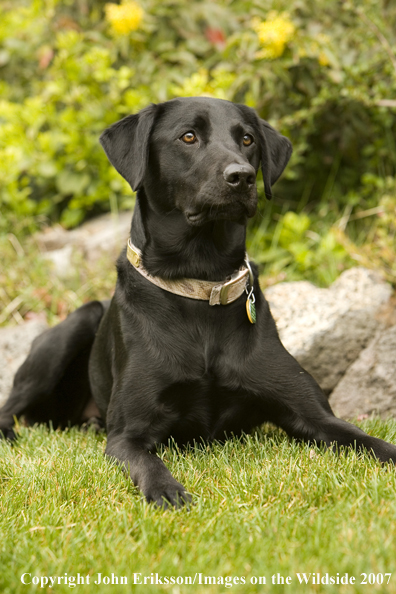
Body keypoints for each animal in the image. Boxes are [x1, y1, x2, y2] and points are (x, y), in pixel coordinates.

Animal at [2, 96, 396, 504]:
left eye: (247, 139)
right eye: (188, 136)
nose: (242, 176)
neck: (202, 284)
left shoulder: (316, 417)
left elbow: (370, 440)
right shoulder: (127, 435)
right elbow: (148, 462)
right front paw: (166, 490)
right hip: (74, 327)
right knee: (11, 406)